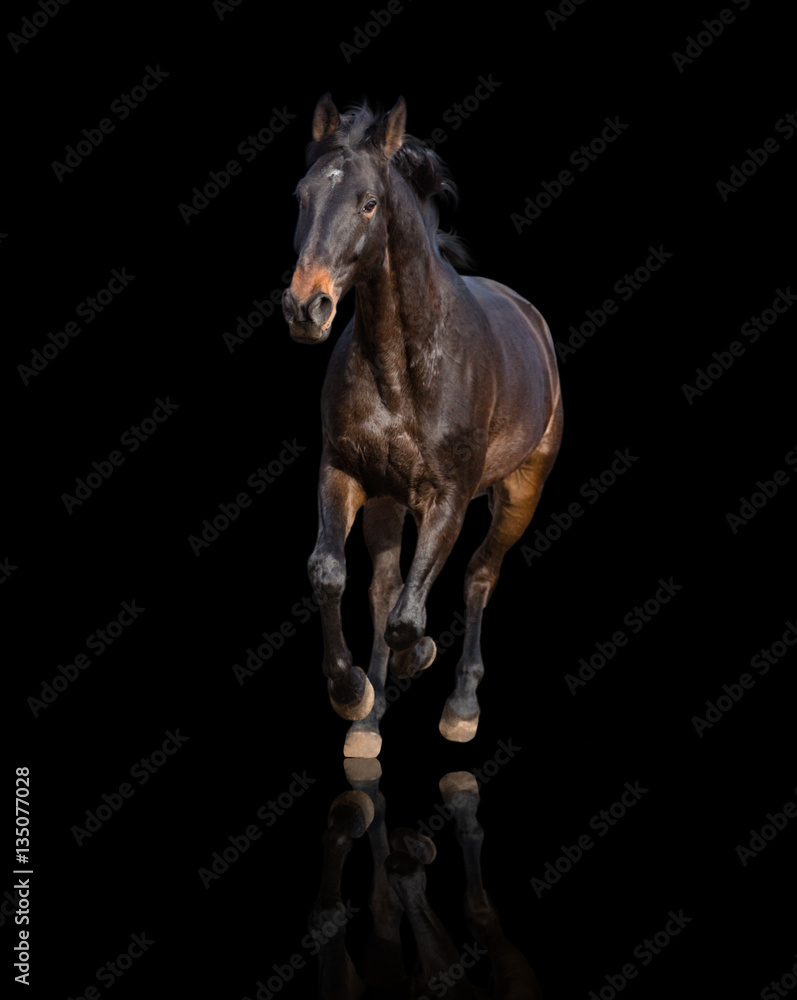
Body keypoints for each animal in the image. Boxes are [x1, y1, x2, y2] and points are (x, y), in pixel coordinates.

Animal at [282, 94, 563, 757]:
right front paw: (352, 694)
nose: (306, 307)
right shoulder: (343, 472)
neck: (402, 368)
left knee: (480, 575)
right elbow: (331, 575)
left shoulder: (449, 497)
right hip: (388, 500)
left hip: (522, 491)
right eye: (302, 195)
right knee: (385, 588)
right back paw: (368, 724)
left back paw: (460, 707)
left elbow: (411, 617)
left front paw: (421, 657)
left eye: (368, 202)